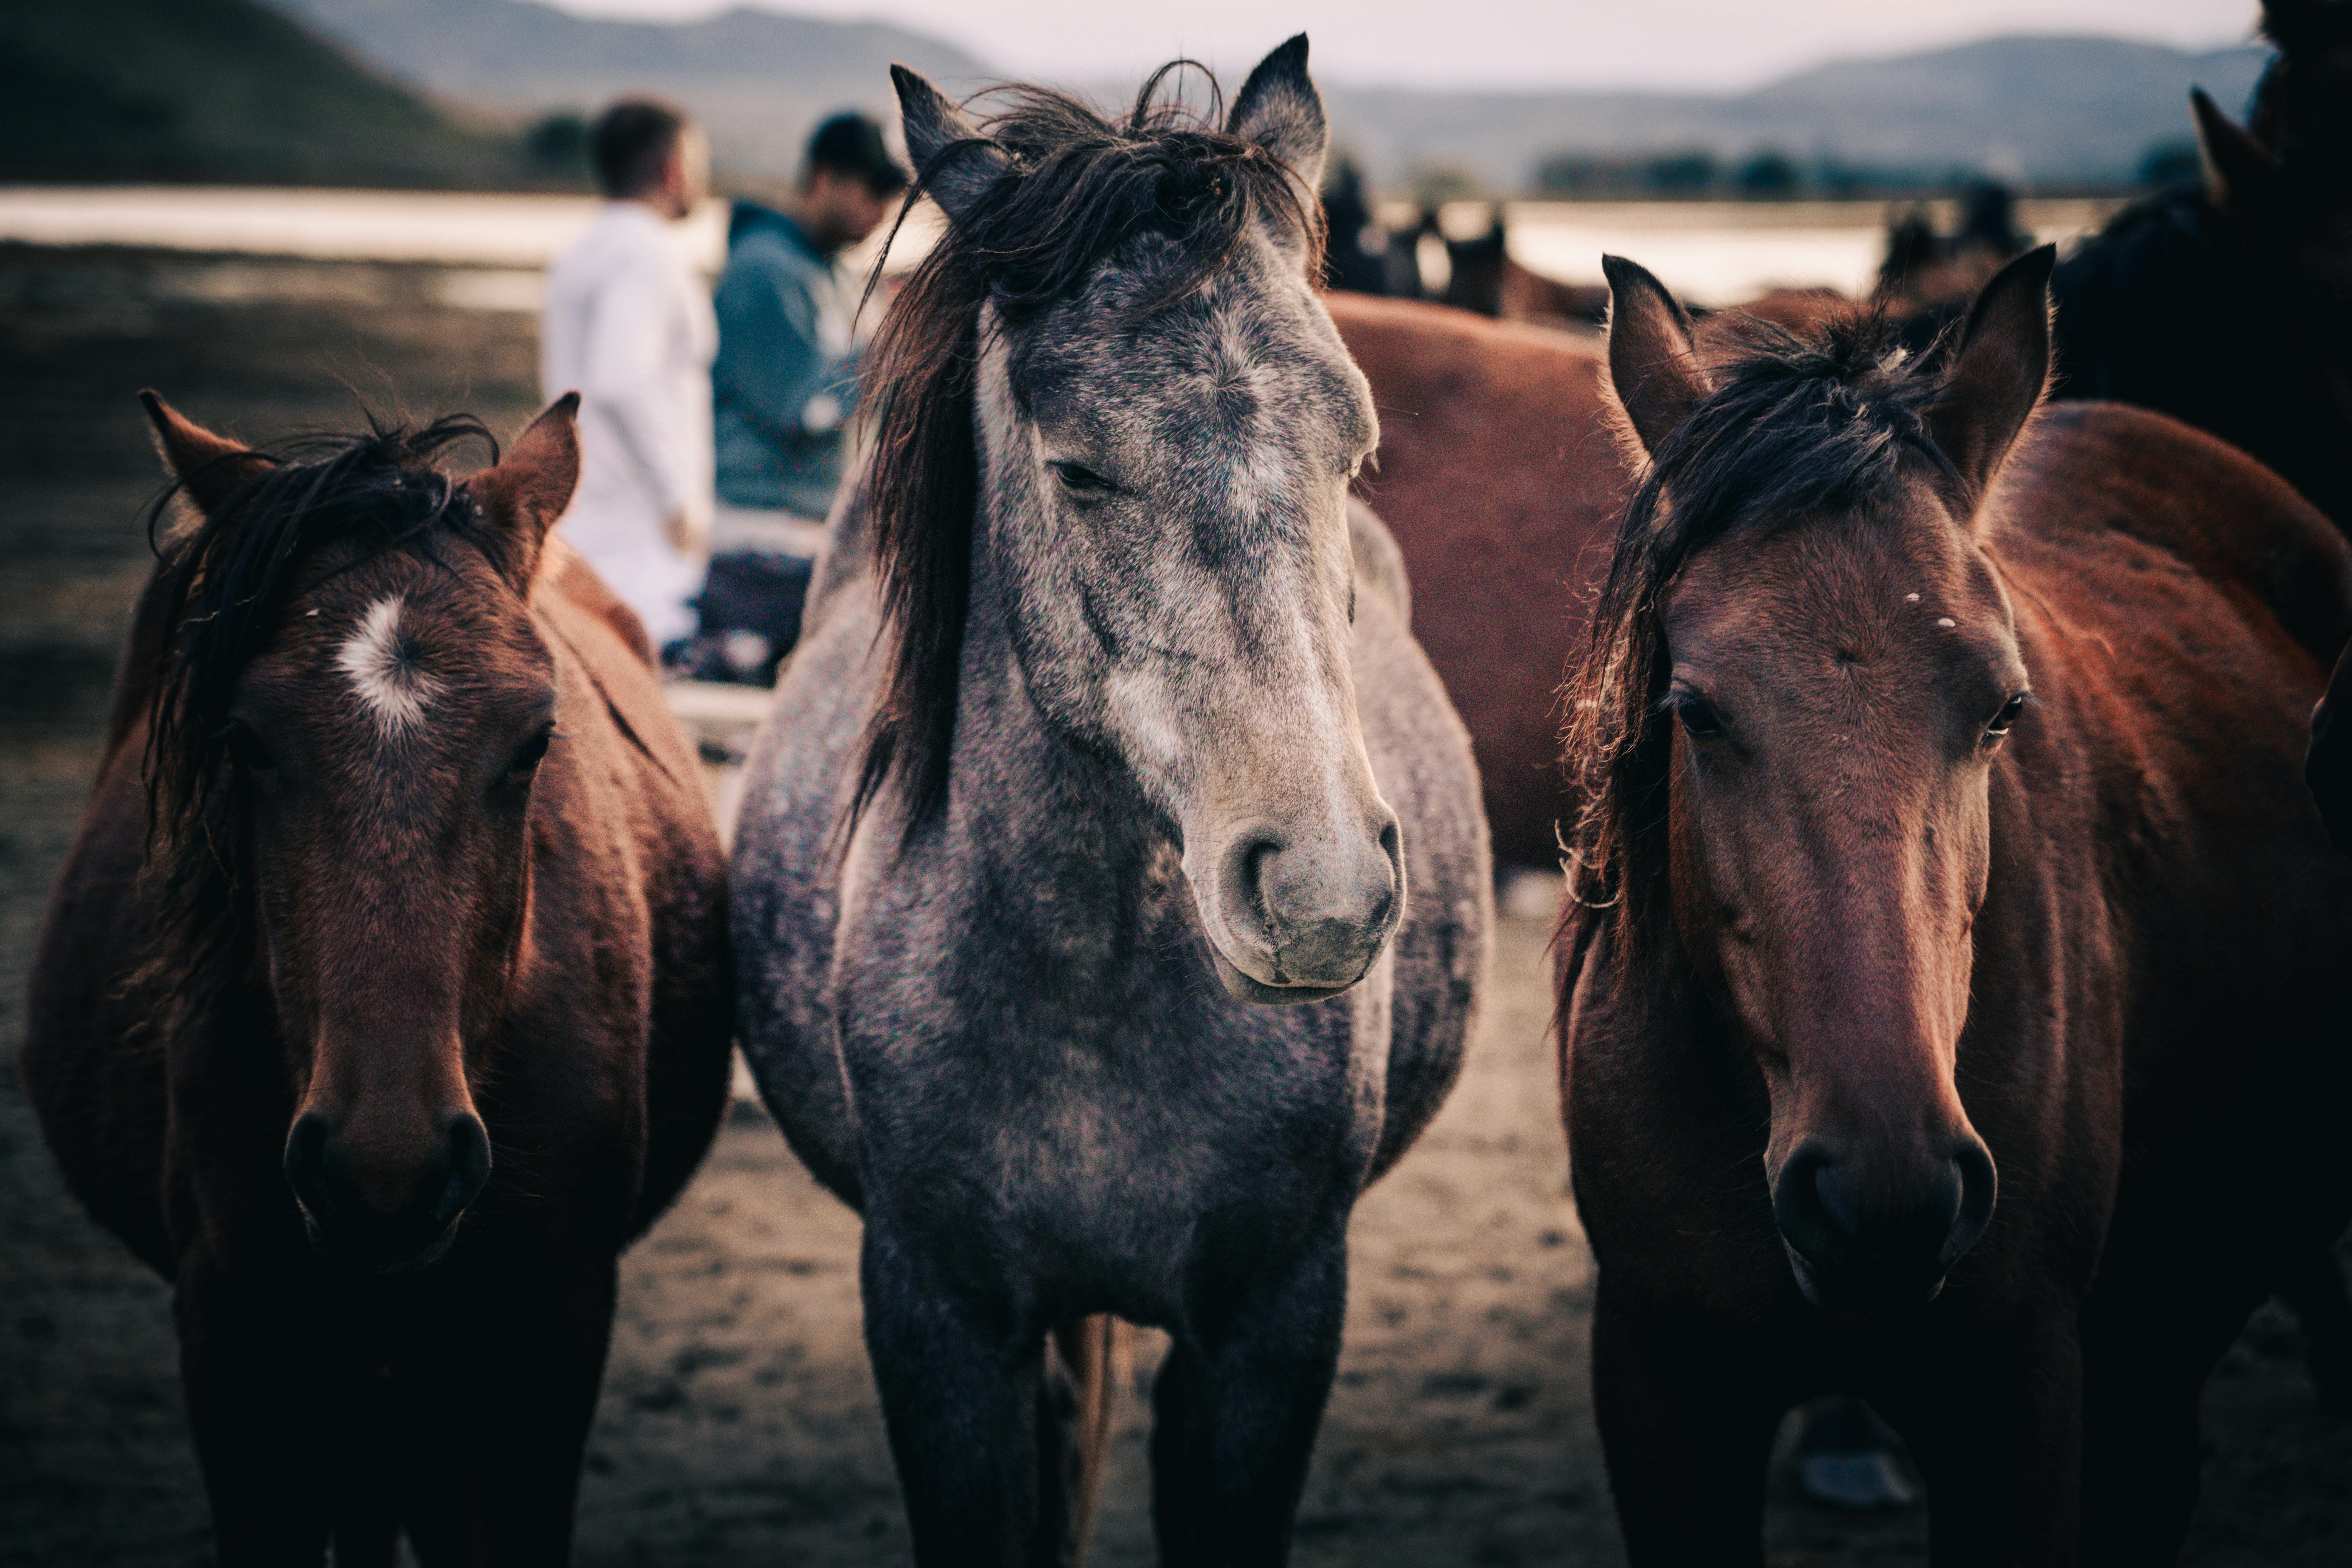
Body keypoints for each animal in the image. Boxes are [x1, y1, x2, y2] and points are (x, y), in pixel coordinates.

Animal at [728, 39, 1489, 1563]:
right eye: (1077, 466)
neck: (1091, 978)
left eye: (1358, 448)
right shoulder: (939, 1324)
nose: (1324, 890)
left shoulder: (1267, 1331)